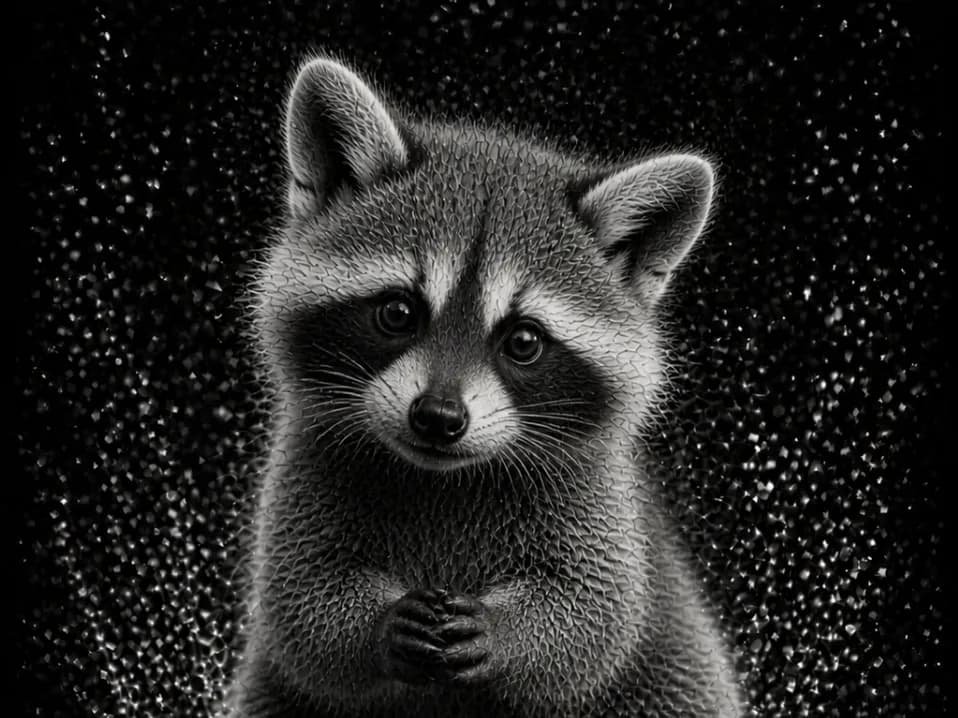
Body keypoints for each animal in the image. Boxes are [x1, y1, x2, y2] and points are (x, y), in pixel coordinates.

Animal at [226, 56, 744, 717]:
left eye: (523, 341)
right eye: (398, 312)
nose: (438, 417)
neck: (443, 478)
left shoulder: (599, 503)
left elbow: (595, 618)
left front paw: (511, 635)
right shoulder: (303, 470)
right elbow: (297, 604)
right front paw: (374, 625)